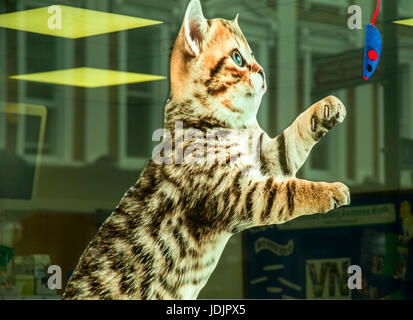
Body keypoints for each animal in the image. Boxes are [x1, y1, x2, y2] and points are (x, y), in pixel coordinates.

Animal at [63, 0, 348, 300]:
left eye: (252, 55)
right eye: (237, 58)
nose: (262, 71)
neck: (230, 123)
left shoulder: (266, 159)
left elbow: (293, 137)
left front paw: (326, 106)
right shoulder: (239, 192)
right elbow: (291, 190)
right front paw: (328, 190)